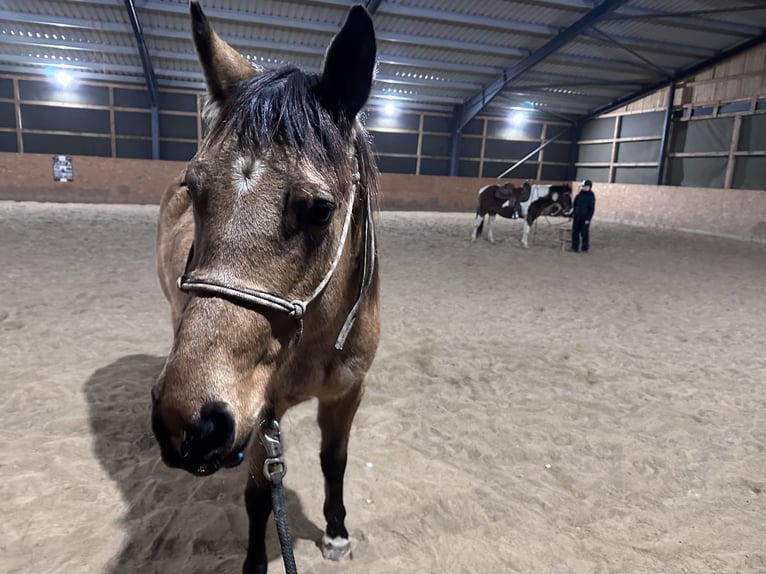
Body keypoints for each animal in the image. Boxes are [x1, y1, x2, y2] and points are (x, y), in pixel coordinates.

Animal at [152, 3, 380, 572]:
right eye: (194, 188)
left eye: (320, 209)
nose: (187, 421)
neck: (316, 340)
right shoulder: (259, 411)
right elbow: (258, 496)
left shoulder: (348, 393)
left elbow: (334, 462)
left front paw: (336, 533)